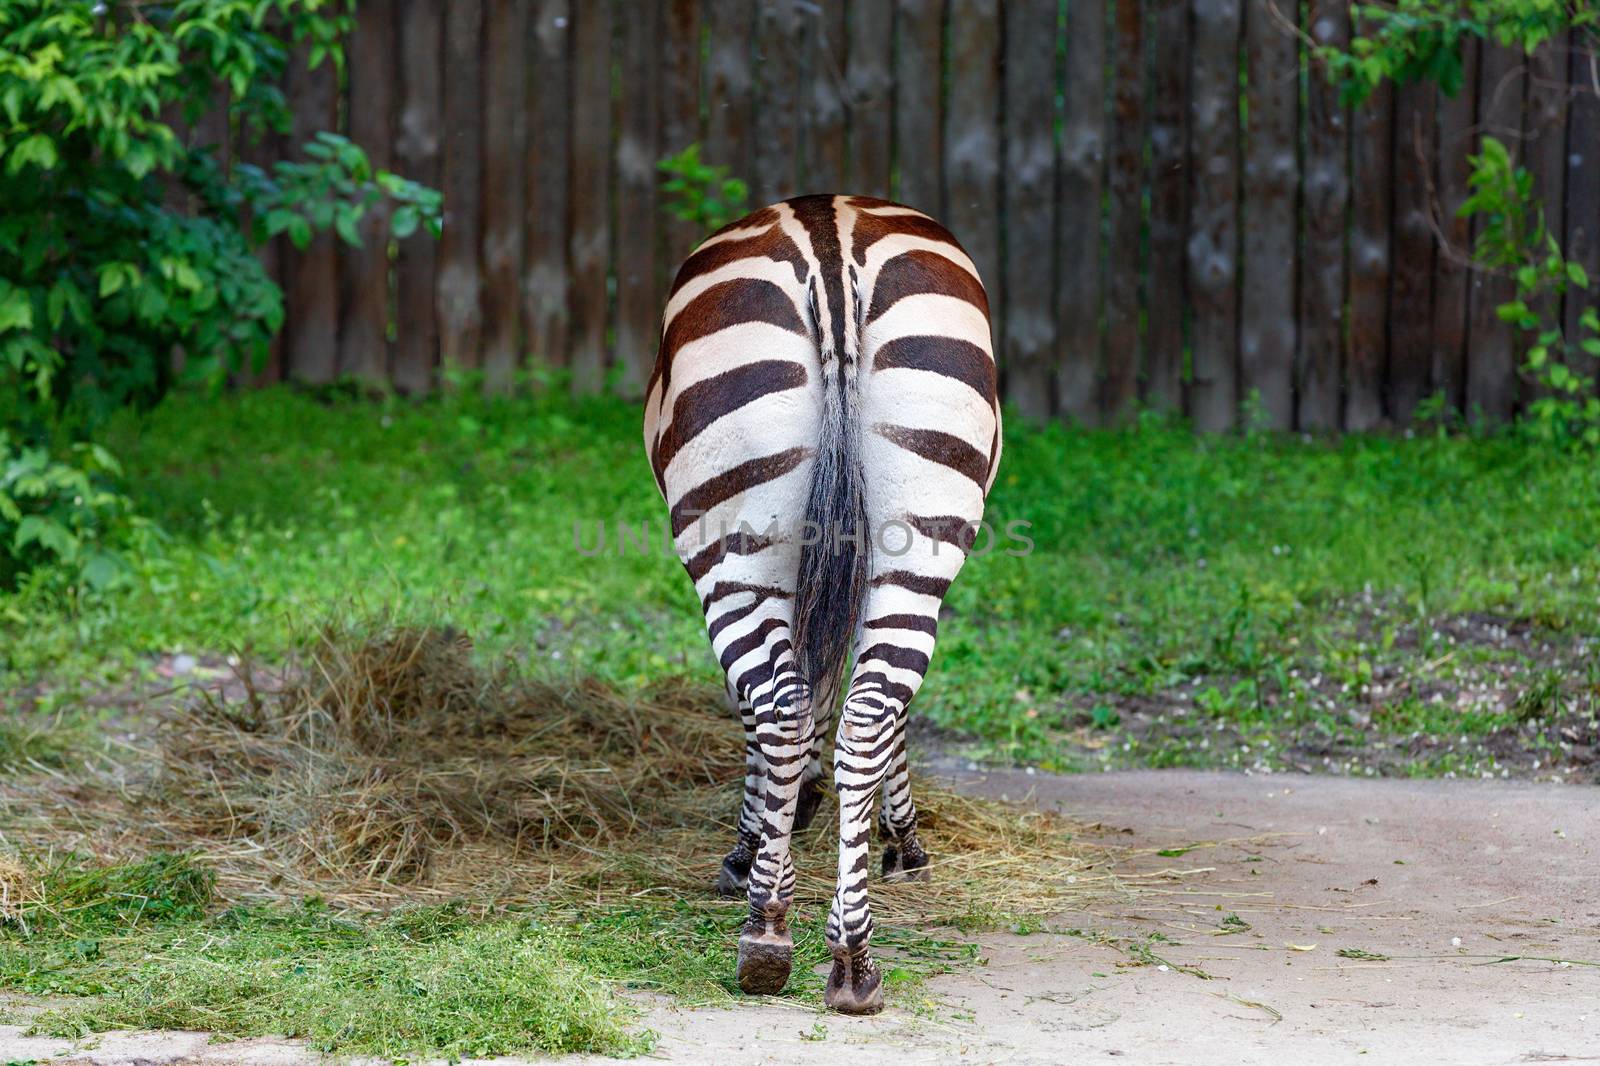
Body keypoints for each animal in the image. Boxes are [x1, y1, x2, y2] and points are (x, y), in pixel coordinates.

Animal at [640, 192, 998, 1011]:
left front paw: (760, 837)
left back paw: (768, 927)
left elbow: (786, 695)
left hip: (735, 546)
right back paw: (848, 956)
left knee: (779, 706)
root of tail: (830, 240)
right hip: (915, 535)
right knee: (861, 712)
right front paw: (889, 833)